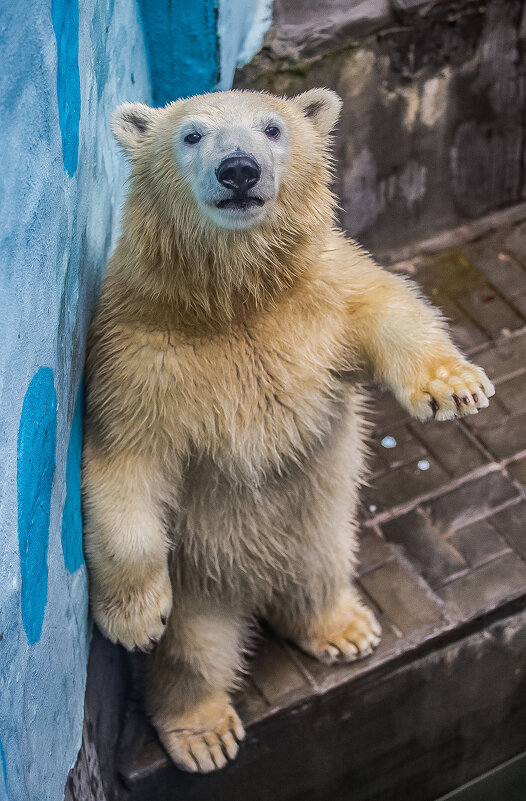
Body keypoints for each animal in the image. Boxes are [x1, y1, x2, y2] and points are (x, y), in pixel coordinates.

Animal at [82, 90, 496, 772]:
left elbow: (386, 307)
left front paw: (453, 386)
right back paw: (204, 734)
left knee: (318, 577)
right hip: (201, 588)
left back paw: (345, 630)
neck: (233, 303)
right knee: (193, 654)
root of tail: (254, 588)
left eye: (273, 128)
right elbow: (123, 465)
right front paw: (134, 621)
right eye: (192, 135)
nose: (239, 170)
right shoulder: (138, 353)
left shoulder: (318, 296)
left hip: (321, 534)